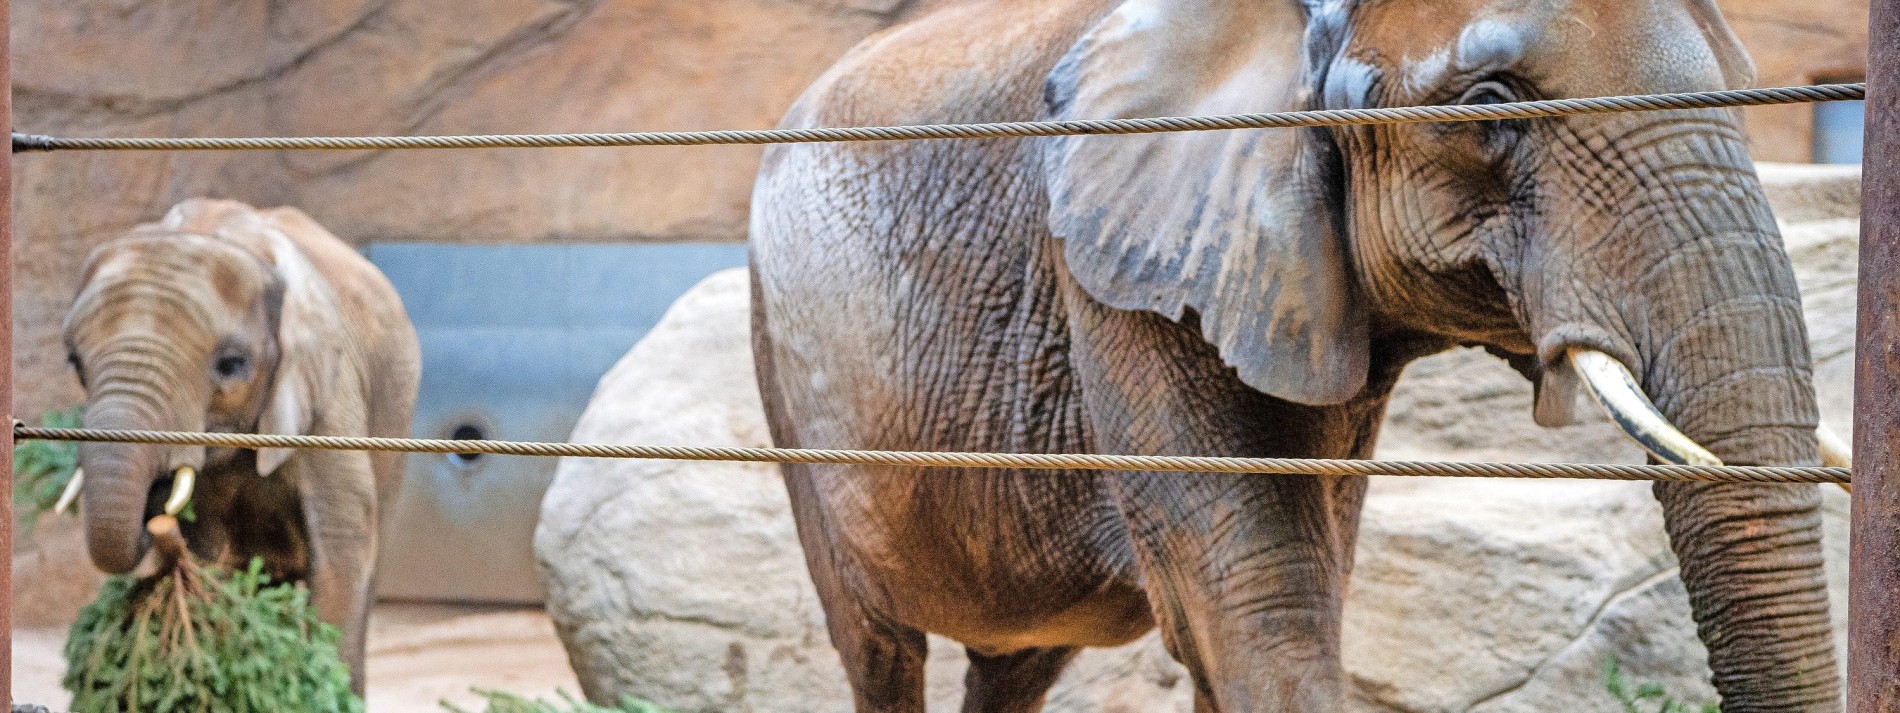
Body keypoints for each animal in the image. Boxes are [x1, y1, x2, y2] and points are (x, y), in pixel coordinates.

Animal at [63, 196, 419, 692]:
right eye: (75, 363)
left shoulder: (328, 398)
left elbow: (340, 553)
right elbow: (212, 555)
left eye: (231, 365)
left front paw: (324, 686)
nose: (156, 517)